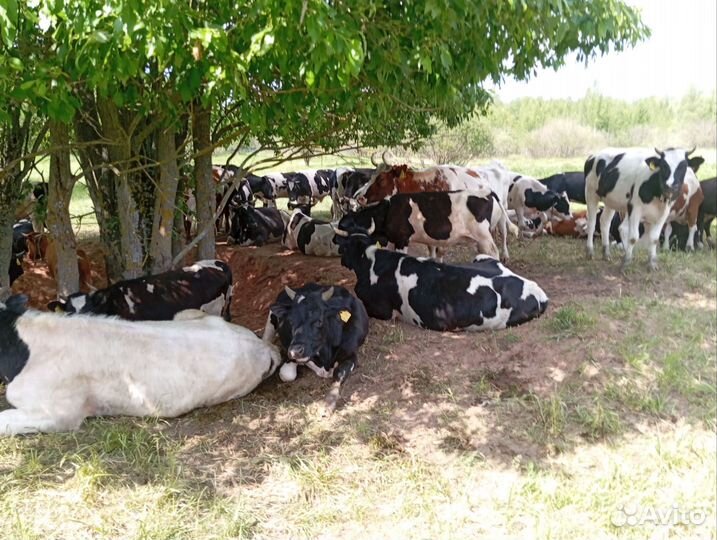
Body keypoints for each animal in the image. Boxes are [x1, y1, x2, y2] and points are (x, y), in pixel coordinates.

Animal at [262, 283, 369, 413]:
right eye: (290, 321)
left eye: (319, 321)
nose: (295, 351)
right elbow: (287, 374)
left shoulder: (350, 353)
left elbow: (339, 374)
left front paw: (329, 402)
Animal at [333, 231, 548, 331]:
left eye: (344, 248)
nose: (341, 259)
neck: (371, 262)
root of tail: (536, 289)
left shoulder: (382, 311)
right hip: (481, 256)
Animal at [336, 190, 514, 261]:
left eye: (343, 226)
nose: (333, 240)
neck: (388, 210)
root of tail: (487, 192)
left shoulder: (402, 239)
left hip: (484, 236)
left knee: (494, 252)